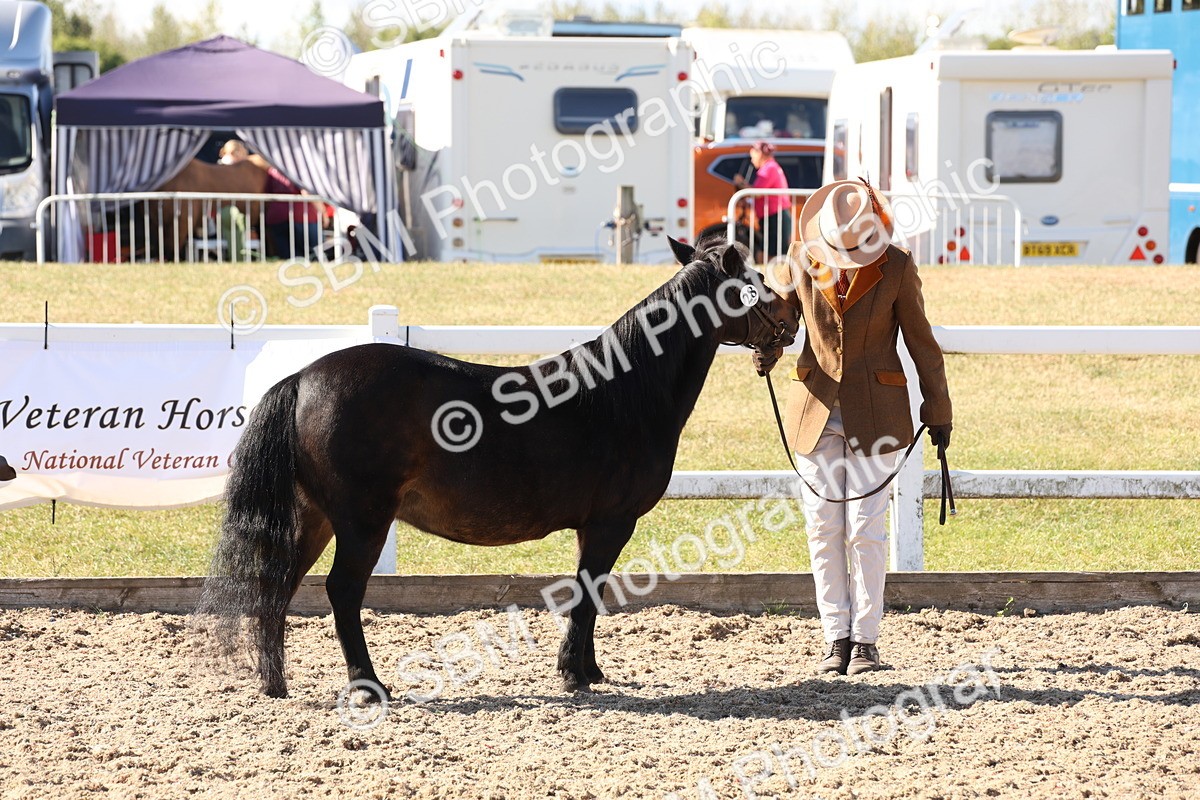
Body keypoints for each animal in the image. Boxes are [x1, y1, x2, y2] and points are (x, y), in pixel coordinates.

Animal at [196, 236, 800, 698]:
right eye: (754, 279)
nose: (792, 315)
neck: (622, 393)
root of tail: (303, 377)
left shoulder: (592, 528)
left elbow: (589, 593)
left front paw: (589, 669)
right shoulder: (612, 523)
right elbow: (588, 593)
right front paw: (573, 675)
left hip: (317, 517)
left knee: (276, 584)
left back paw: (275, 682)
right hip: (362, 522)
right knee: (342, 592)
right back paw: (368, 685)